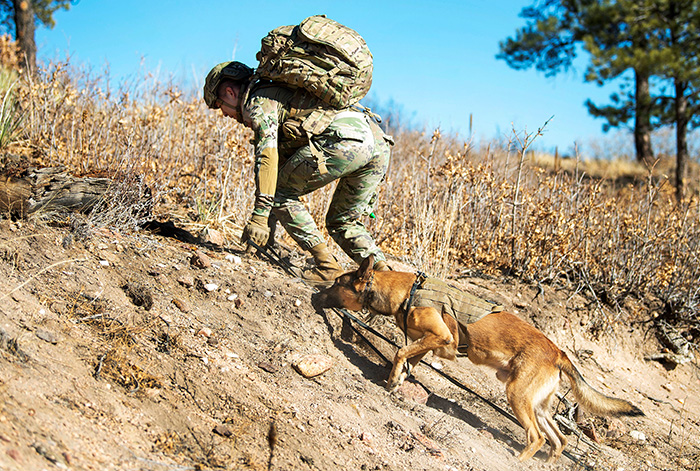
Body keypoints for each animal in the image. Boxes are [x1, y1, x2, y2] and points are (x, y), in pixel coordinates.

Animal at [314, 256, 644, 462]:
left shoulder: (441, 337)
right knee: (559, 440)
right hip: (538, 405)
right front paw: (397, 380)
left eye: (336, 283)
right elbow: (409, 357)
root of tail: (558, 352)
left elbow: (401, 351)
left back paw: (519, 460)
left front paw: (393, 378)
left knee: (537, 438)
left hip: (518, 395)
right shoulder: (427, 342)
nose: (316, 294)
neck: (408, 291)